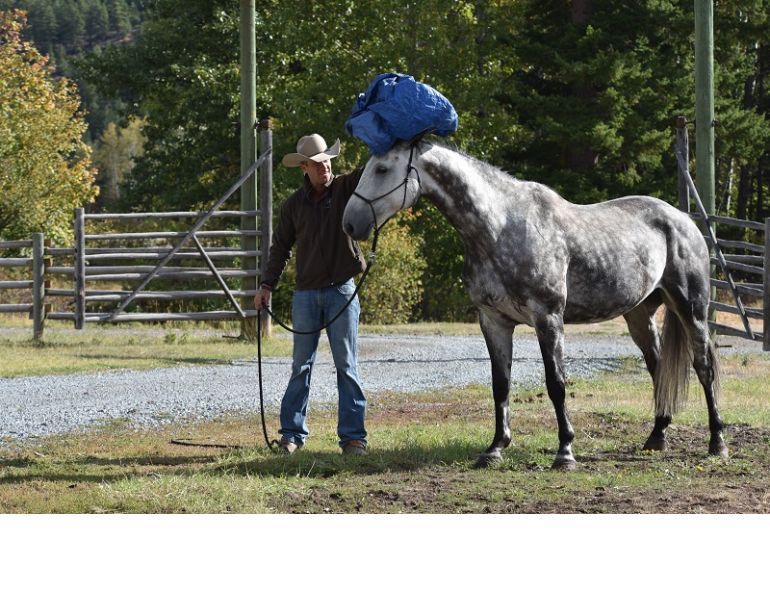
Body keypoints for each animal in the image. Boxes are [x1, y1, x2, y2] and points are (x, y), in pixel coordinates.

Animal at [342, 139, 727, 470]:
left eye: (382, 168)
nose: (350, 223)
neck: (499, 227)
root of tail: (683, 220)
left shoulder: (548, 318)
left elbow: (556, 384)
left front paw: (565, 452)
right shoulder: (493, 321)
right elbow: (500, 384)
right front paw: (495, 449)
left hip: (691, 309)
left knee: (704, 367)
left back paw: (717, 442)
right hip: (639, 316)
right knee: (658, 368)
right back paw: (657, 436)